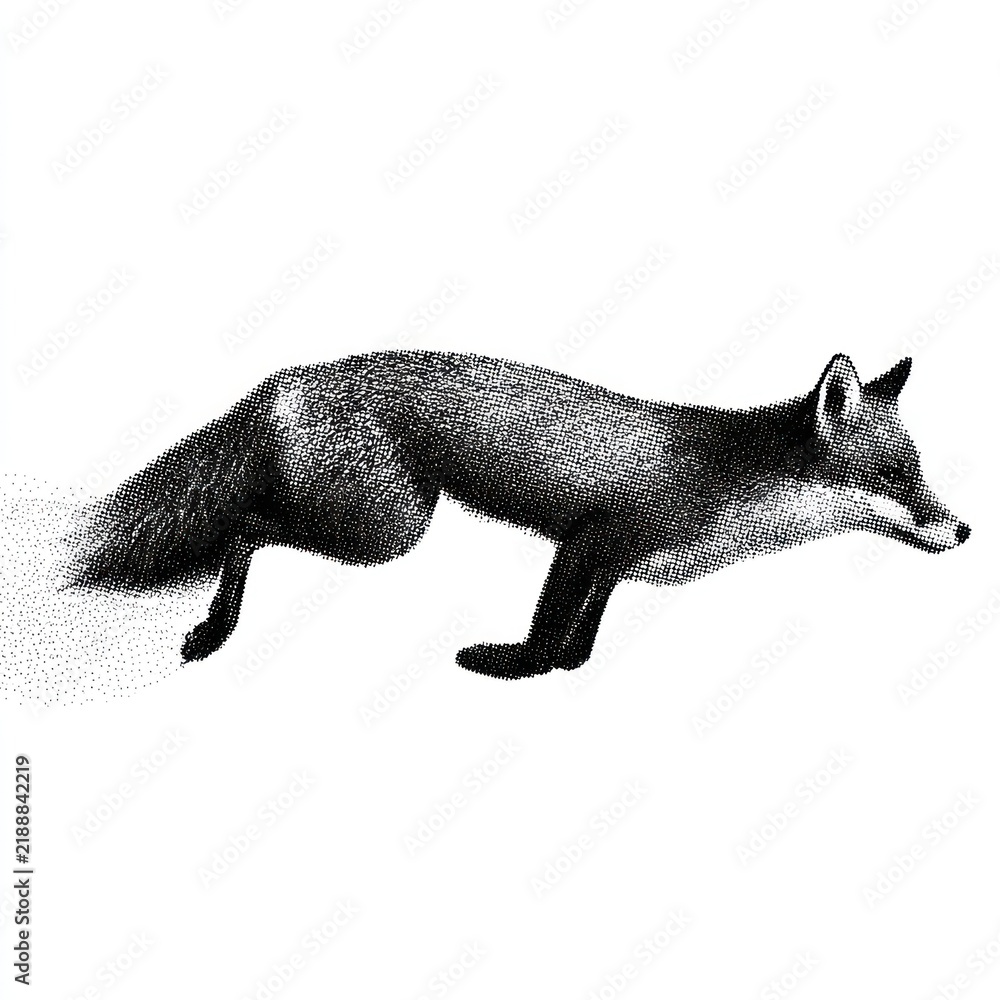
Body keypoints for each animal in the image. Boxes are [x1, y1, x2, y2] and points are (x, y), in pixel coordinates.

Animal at [70, 350, 969, 680]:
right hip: (387, 530)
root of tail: (289, 375)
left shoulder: (614, 562)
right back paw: (212, 630)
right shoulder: (590, 540)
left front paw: (568, 667)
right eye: (897, 476)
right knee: (245, 526)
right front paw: (512, 666)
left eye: (922, 471)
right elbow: (545, 627)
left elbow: (585, 632)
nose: (963, 530)